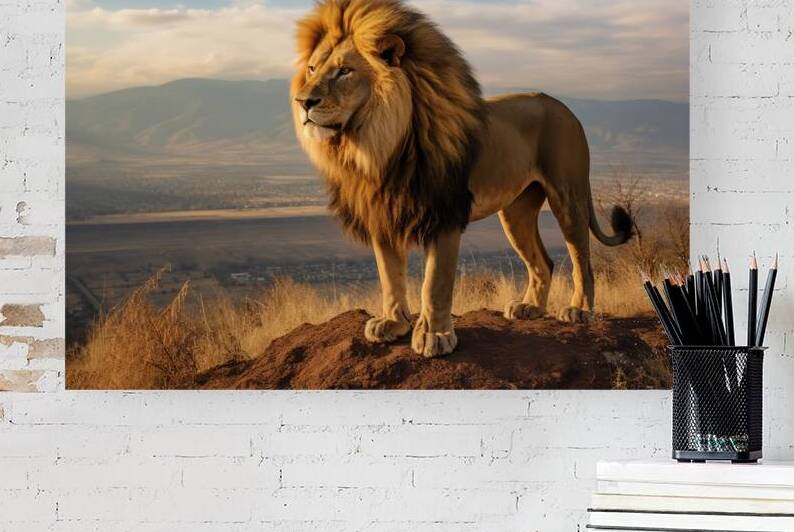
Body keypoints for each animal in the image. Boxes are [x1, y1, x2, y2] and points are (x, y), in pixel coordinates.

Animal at [290, 0, 633, 358]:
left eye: (344, 71)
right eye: (312, 69)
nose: (303, 102)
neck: (376, 146)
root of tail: (564, 107)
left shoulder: (444, 214)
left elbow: (435, 283)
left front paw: (434, 335)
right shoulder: (382, 214)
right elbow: (390, 277)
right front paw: (393, 323)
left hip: (568, 196)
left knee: (582, 260)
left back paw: (579, 310)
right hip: (516, 211)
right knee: (544, 261)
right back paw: (530, 308)